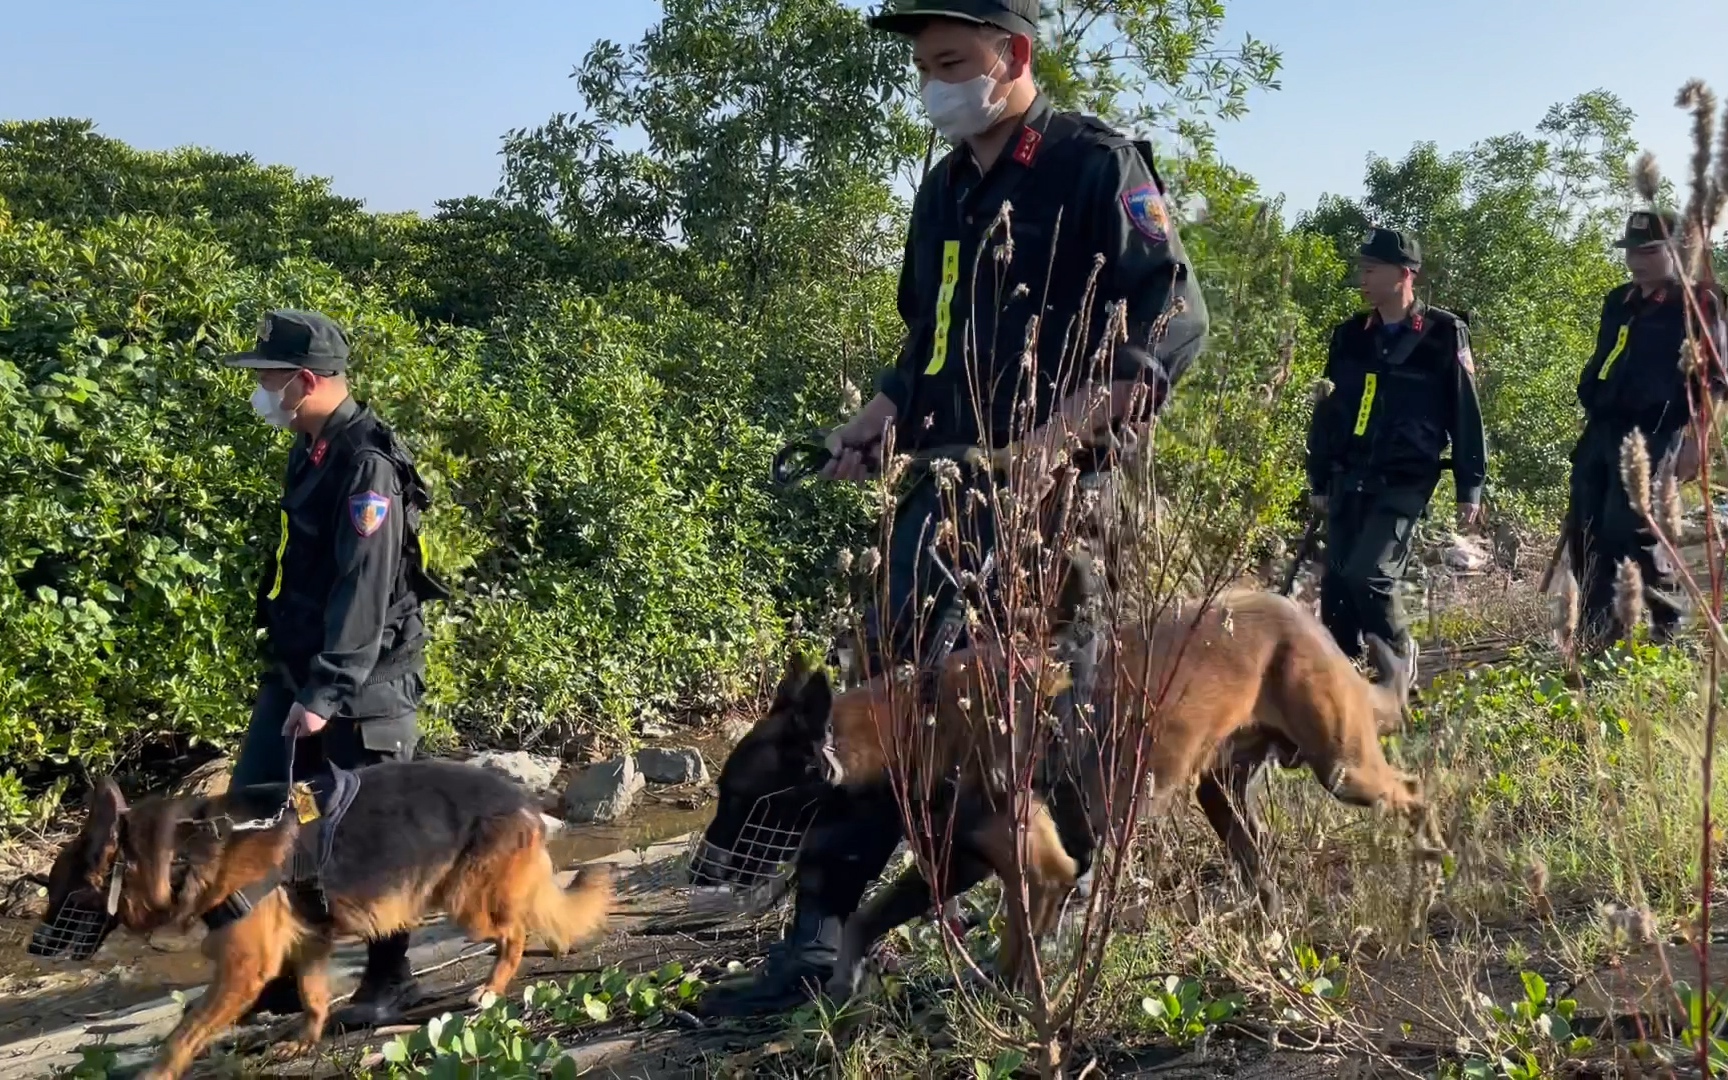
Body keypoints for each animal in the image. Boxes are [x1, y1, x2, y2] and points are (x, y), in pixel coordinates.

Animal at [28, 756, 615, 1078]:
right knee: (534, 913)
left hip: (467, 903)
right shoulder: (307, 944)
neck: (179, 852)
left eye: (57, 894)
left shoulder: (244, 968)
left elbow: (185, 1030)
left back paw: (491, 988)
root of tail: (524, 800)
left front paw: (159, 1071)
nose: (37, 949)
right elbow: (312, 995)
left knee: (512, 931)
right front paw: (304, 1038)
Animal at [698, 584, 1430, 995]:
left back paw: (1431, 871)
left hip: (1345, 769)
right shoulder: (959, 863)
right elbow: (868, 918)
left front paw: (1013, 1010)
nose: (702, 871)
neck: (918, 730)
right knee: (1260, 860)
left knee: (1415, 789)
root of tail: (1302, 617)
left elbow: (1019, 952)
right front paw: (846, 981)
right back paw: (1270, 928)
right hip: (1220, 794)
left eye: (737, 798)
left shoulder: (1041, 871)